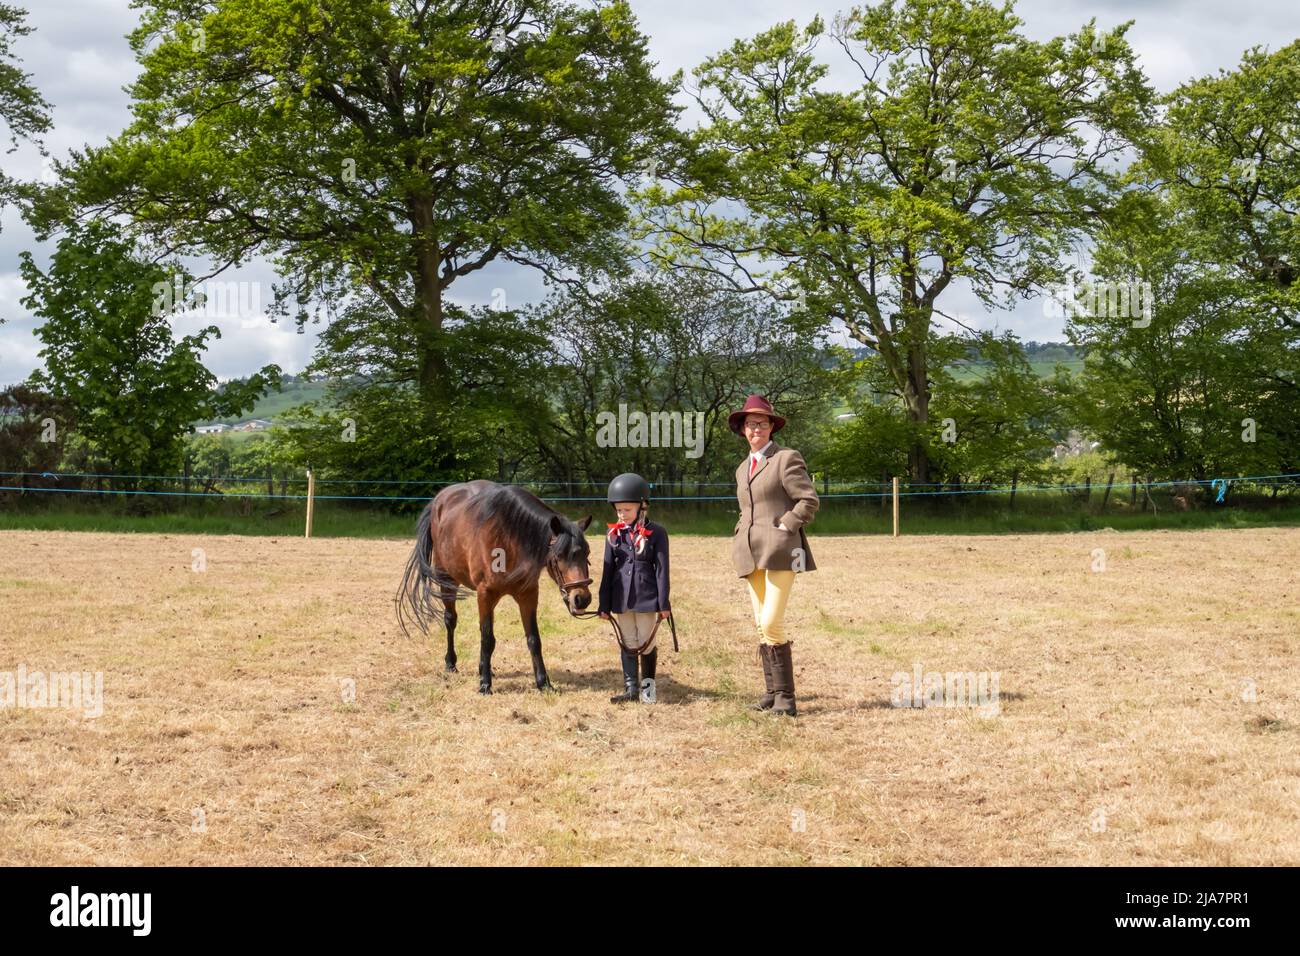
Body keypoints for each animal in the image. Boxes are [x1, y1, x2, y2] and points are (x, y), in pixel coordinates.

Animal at [396, 479, 594, 694]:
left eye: (587, 553)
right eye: (559, 556)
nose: (582, 598)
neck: (509, 538)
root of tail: (439, 501)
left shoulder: (528, 594)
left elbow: (533, 639)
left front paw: (544, 683)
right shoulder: (485, 593)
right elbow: (487, 639)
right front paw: (485, 684)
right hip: (447, 580)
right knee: (450, 620)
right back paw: (450, 663)